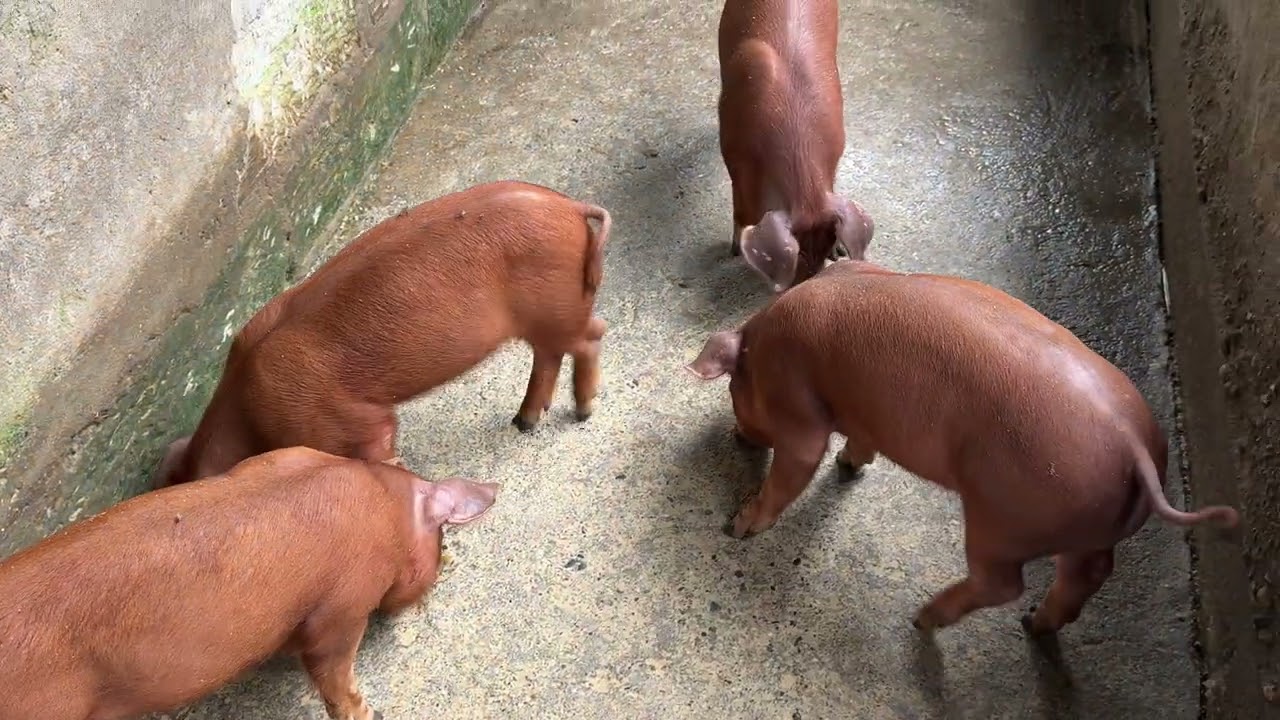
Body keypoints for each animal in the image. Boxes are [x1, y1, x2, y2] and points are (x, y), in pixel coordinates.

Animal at [0, 447, 499, 720]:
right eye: (441, 540)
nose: (436, 578)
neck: (380, 496)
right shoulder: (343, 602)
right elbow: (331, 668)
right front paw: (366, 711)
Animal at [155, 180, 611, 488]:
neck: (249, 413)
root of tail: (570, 207)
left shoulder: (348, 423)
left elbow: (379, 445)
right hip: (548, 316)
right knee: (551, 353)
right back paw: (523, 422)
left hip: (558, 306)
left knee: (593, 334)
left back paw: (582, 412)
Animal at [685, 259, 1239, 635]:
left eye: (733, 391)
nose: (735, 435)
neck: (762, 345)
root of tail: (1134, 445)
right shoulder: (866, 413)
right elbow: (861, 442)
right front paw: (848, 466)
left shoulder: (799, 411)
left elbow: (793, 469)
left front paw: (737, 527)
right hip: (1086, 529)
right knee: (1089, 573)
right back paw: (1034, 627)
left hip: (1002, 522)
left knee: (1004, 584)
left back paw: (923, 618)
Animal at [717, 0, 876, 291]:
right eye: (798, 252)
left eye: (824, 250)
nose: (810, 282)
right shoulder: (732, 149)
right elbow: (741, 206)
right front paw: (734, 250)